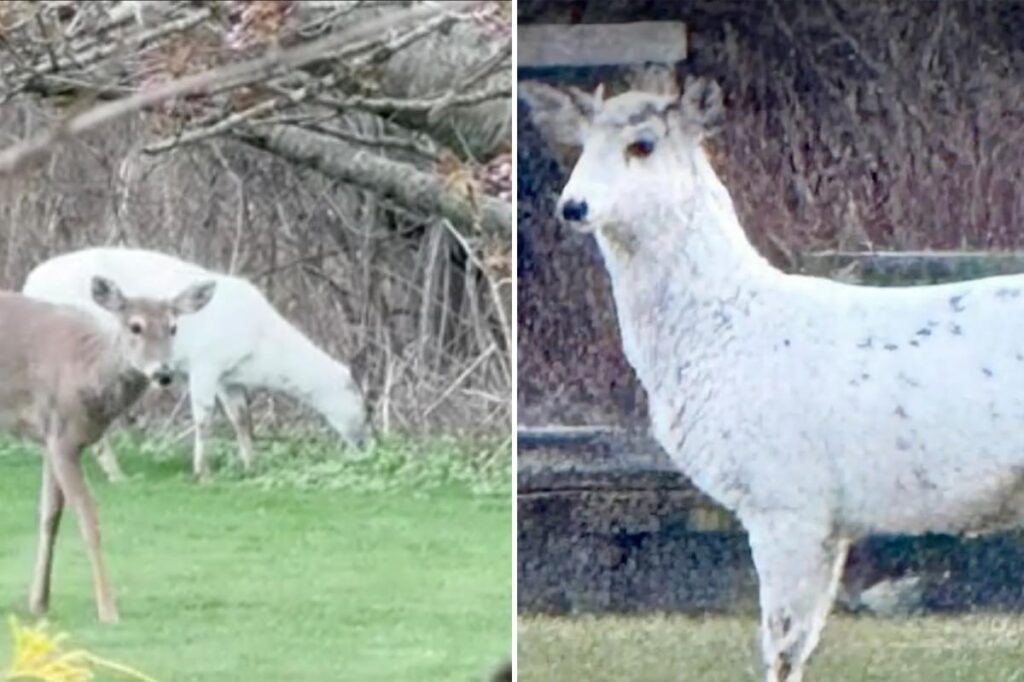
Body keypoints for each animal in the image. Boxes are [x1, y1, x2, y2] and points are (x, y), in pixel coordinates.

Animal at [1, 276, 215, 623]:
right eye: (135, 326)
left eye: (173, 327)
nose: (164, 373)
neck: (87, 371)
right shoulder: (62, 437)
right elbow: (88, 519)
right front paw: (108, 609)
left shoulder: (49, 438)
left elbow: (49, 516)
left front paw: (39, 602)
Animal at [23, 247, 369, 482]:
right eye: (363, 405)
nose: (367, 443)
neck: (261, 351)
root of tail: (28, 284)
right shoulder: (205, 362)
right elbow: (204, 417)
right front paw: (202, 472)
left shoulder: (230, 377)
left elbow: (241, 419)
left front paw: (251, 465)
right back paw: (114, 472)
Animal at [522, 71, 1024, 682]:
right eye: (581, 144)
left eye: (642, 145)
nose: (573, 205)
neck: (727, 329)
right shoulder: (824, 516)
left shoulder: (787, 497)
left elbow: (783, 643)